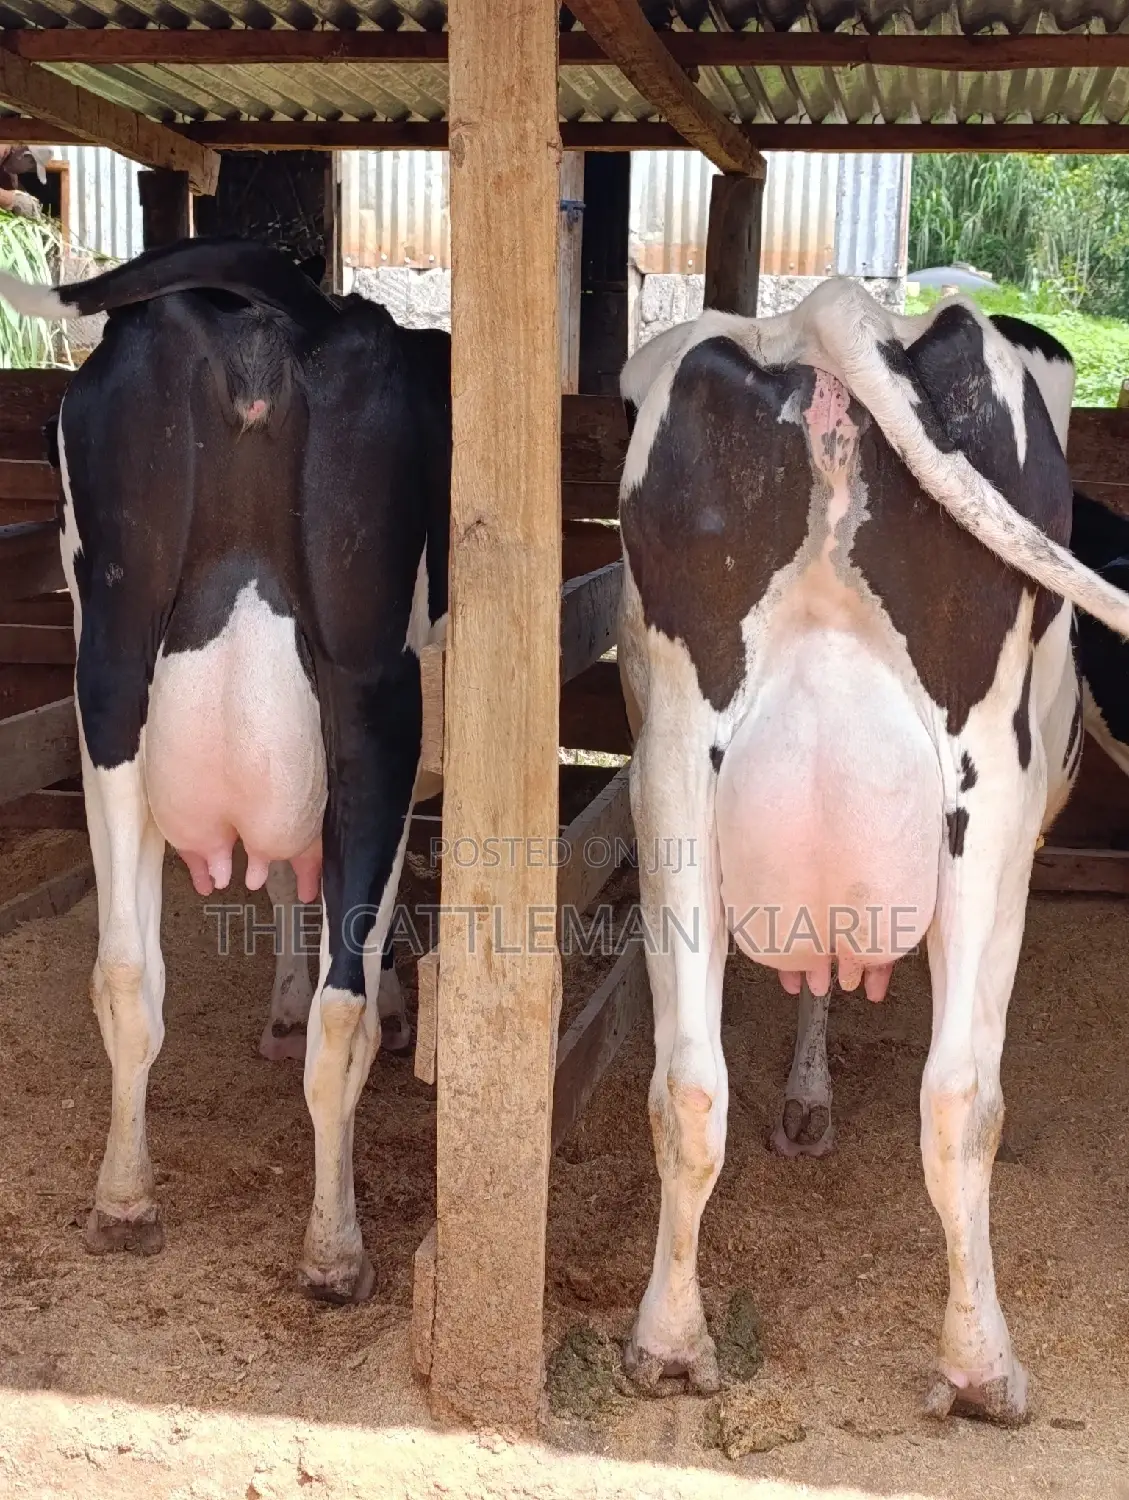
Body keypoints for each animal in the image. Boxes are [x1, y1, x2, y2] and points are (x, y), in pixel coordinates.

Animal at [0, 238, 449, 1303]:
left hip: (110, 679)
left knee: (127, 971)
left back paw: (124, 1201)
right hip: (375, 699)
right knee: (342, 1007)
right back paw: (334, 1249)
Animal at [615, 280, 1129, 1425]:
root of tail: (828, 314)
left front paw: (806, 1101)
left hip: (670, 775)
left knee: (689, 1085)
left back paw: (668, 1344)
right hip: (987, 796)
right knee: (959, 1096)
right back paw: (981, 1370)